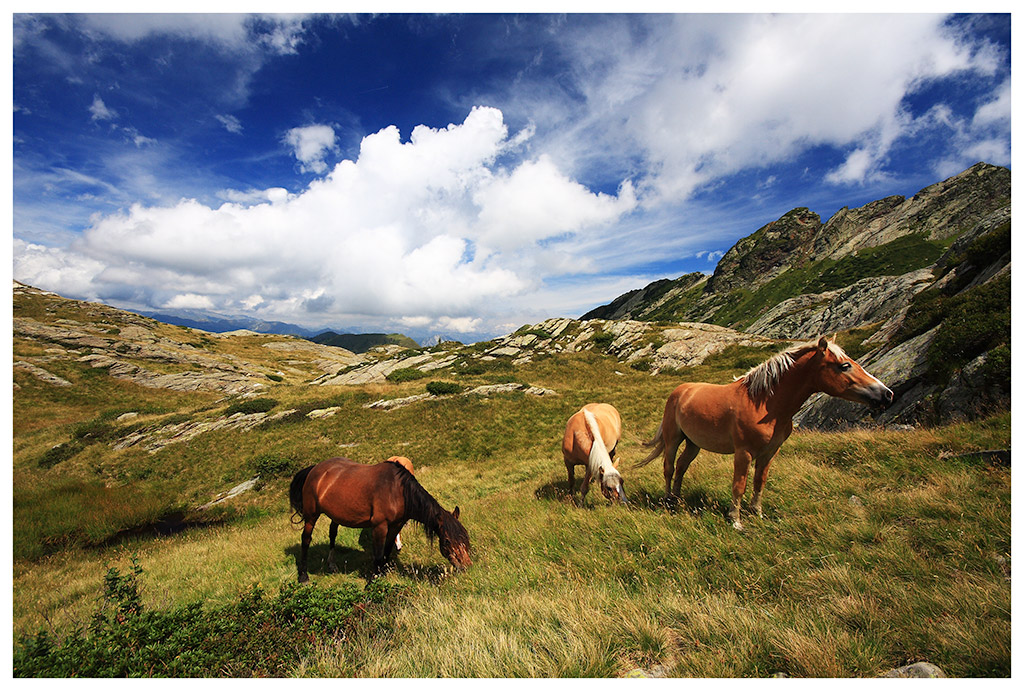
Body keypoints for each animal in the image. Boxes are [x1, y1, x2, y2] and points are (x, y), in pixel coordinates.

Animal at [289, 457, 470, 582]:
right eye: (447, 541)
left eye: (466, 538)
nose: (466, 565)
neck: (398, 492)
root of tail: (314, 469)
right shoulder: (379, 526)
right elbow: (377, 554)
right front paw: (374, 580)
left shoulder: (396, 525)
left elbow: (387, 550)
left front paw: (383, 572)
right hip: (311, 515)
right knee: (306, 539)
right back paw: (303, 576)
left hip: (336, 514)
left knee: (332, 534)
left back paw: (332, 564)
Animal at [634, 336, 892, 530]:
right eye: (844, 366)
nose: (886, 394)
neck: (765, 403)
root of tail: (680, 390)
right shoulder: (744, 453)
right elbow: (739, 484)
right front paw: (735, 521)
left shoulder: (770, 452)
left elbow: (760, 481)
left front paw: (756, 513)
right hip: (673, 439)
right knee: (669, 468)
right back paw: (668, 500)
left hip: (693, 443)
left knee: (681, 467)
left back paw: (677, 499)